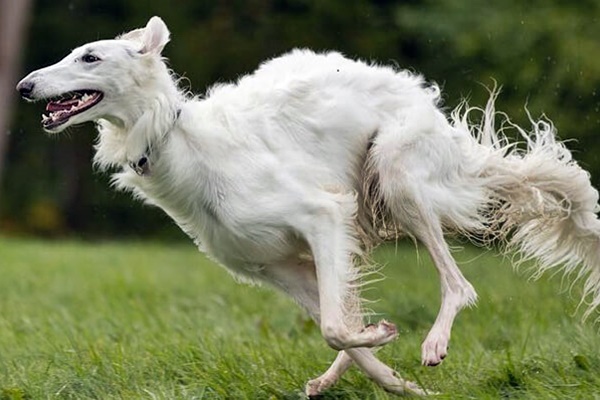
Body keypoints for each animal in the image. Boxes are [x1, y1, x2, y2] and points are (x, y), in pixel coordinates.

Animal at [15, 17, 600, 396]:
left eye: (90, 56)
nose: (23, 86)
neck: (183, 142)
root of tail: (415, 91)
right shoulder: (276, 268)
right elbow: (340, 328)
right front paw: (396, 381)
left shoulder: (323, 216)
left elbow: (336, 327)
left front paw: (390, 345)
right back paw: (341, 376)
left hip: (397, 176)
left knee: (459, 284)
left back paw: (433, 343)